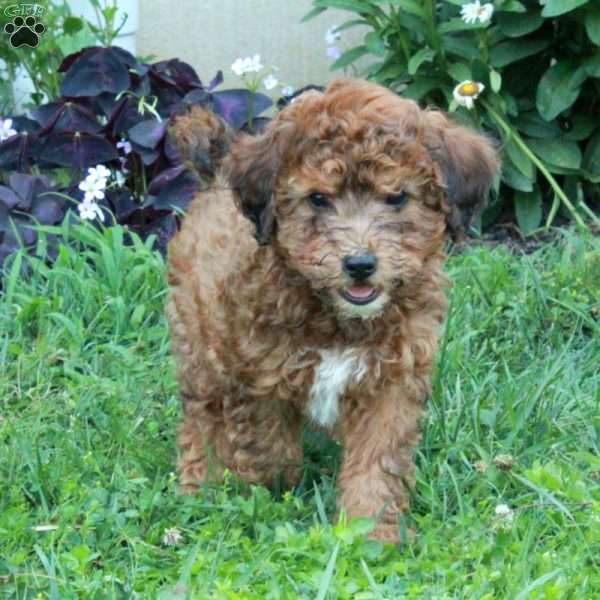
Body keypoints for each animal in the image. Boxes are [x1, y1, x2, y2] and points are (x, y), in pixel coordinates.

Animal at [166, 77, 500, 540]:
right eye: (318, 199)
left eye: (397, 197)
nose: (359, 264)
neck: (338, 319)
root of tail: (215, 179)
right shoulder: (256, 376)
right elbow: (266, 444)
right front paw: (271, 489)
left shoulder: (391, 381)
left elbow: (377, 462)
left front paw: (371, 531)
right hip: (200, 344)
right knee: (201, 417)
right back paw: (199, 484)